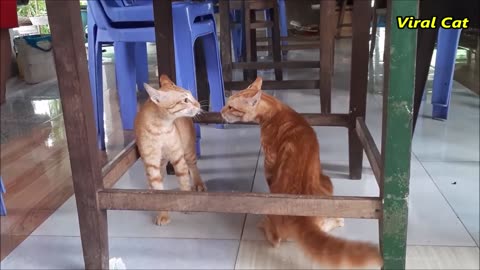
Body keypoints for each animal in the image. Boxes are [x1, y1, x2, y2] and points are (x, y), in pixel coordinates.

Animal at [134, 74, 205, 226]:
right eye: (185, 100)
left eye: (191, 96)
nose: (198, 104)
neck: (161, 128)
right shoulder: (151, 162)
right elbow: (158, 188)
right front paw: (163, 213)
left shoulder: (178, 157)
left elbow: (184, 181)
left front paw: (187, 202)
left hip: (188, 151)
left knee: (193, 167)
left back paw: (198, 184)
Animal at [220, 77, 382, 268]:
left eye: (231, 107)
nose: (221, 111)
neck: (277, 108)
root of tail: (301, 216)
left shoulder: (269, 162)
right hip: (327, 181)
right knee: (323, 226)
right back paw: (337, 219)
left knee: (275, 239)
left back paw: (263, 224)